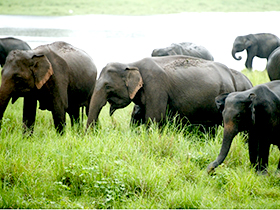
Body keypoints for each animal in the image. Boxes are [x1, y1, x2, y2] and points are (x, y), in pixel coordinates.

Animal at [87, 55, 254, 131]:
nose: (96, 131)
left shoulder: (156, 86)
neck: (131, 63)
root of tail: (231, 76)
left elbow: (154, 118)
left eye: (107, 86)